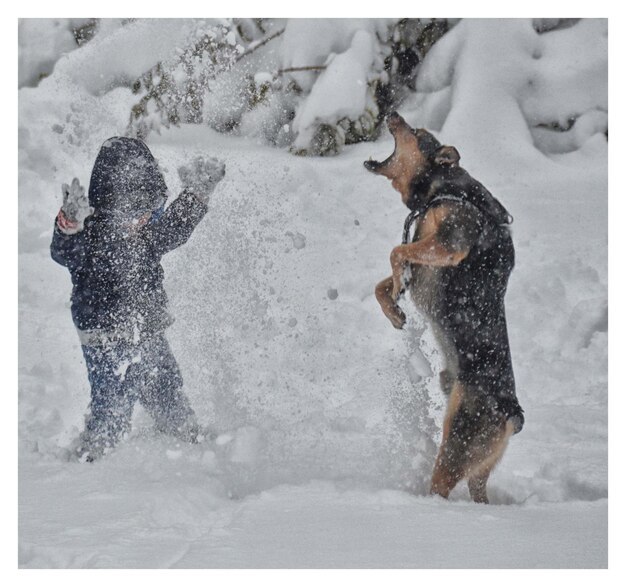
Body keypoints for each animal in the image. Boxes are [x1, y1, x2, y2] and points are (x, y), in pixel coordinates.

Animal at [360, 112, 520, 504]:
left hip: (455, 447)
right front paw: (394, 309)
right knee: (478, 490)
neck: (444, 187)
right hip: (479, 465)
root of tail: (512, 415)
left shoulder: (450, 242)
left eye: (417, 133)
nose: (393, 113)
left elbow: (396, 252)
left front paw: (397, 285)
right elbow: (383, 283)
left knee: (441, 487)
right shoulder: (425, 254)